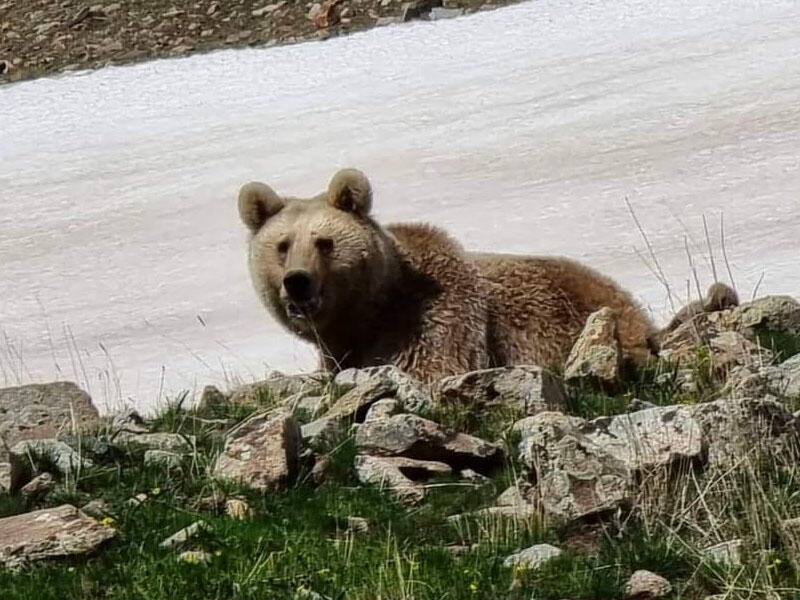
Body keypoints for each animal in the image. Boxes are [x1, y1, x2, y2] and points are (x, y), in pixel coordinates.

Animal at [238, 168, 656, 384]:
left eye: (324, 242)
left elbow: (434, 367)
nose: (297, 281)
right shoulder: (337, 352)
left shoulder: (434, 322)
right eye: (282, 245)